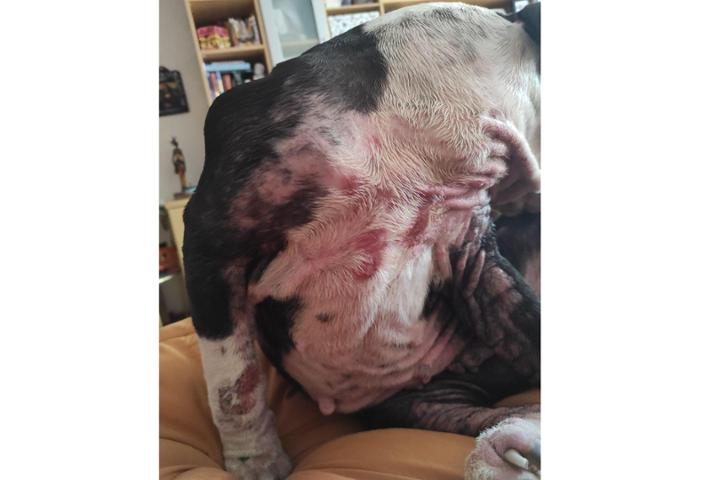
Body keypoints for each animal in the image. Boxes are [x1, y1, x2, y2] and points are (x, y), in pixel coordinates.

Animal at [183, 3, 541, 478]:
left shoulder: (473, 247)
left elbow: (523, 315)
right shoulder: (213, 242)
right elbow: (234, 382)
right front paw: (256, 462)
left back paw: (508, 450)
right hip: (420, 403)